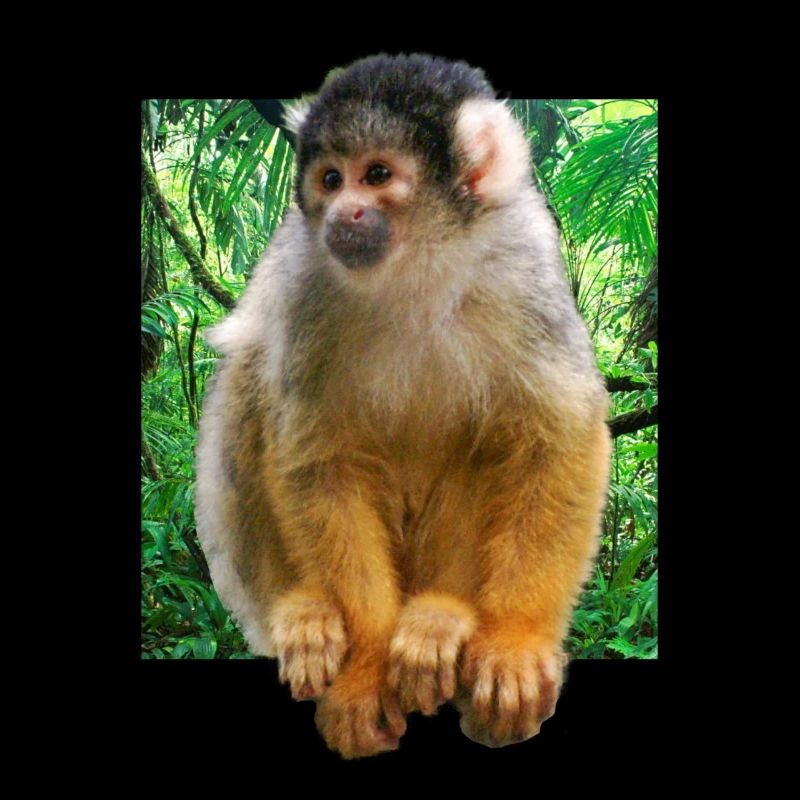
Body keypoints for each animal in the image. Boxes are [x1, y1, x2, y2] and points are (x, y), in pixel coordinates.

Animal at [195, 54, 611, 758]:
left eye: (378, 176)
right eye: (330, 179)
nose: (344, 214)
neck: (418, 265)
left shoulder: (523, 265)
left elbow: (557, 438)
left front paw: (515, 640)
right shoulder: (307, 281)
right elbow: (318, 460)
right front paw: (364, 671)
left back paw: (442, 617)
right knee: (251, 370)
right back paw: (301, 611)